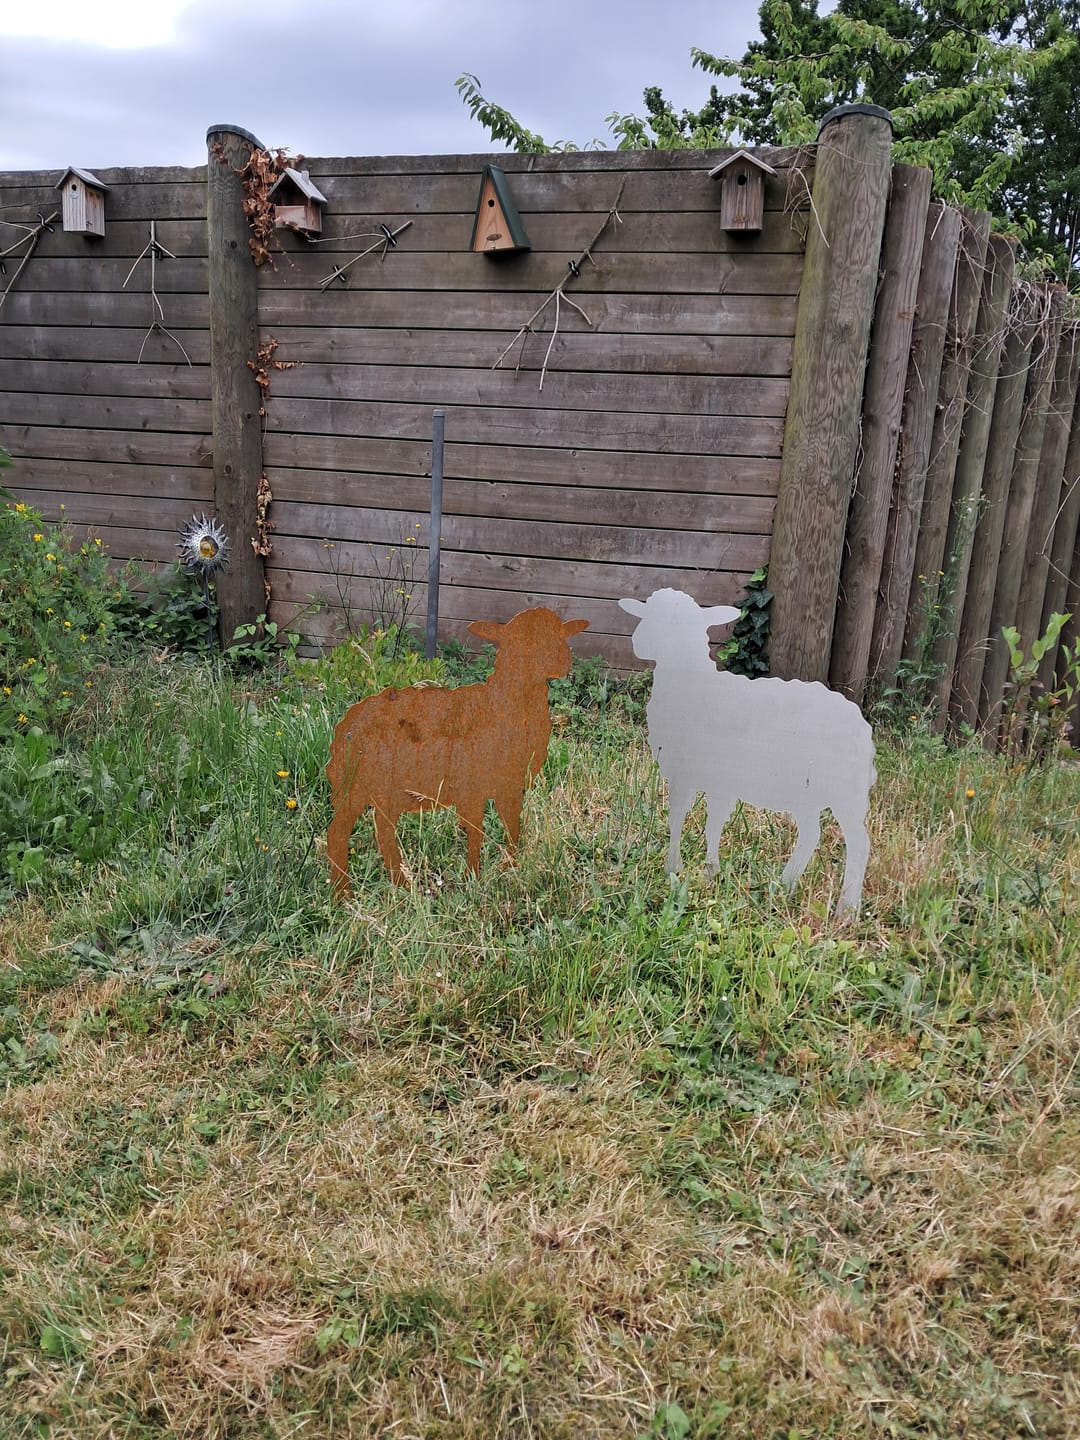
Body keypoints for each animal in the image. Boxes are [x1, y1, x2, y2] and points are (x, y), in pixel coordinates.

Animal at [326, 607, 588, 897]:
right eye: (521, 641)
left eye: (562, 634)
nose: (563, 660)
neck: (502, 703)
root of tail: (346, 725)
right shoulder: (471, 788)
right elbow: (476, 832)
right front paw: (472, 878)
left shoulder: (510, 787)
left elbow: (512, 829)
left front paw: (508, 870)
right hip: (358, 787)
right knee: (339, 833)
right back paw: (344, 895)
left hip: (383, 793)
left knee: (382, 833)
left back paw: (402, 886)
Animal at [618, 588, 876, 916]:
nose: (638, 643)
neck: (690, 679)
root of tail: (862, 727)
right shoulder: (720, 780)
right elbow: (712, 824)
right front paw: (710, 872)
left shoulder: (686, 772)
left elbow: (678, 817)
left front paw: (672, 868)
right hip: (807, 792)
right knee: (810, 834)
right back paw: (785, 885)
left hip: (846, 791)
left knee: (859, 844)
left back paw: (846, 909)